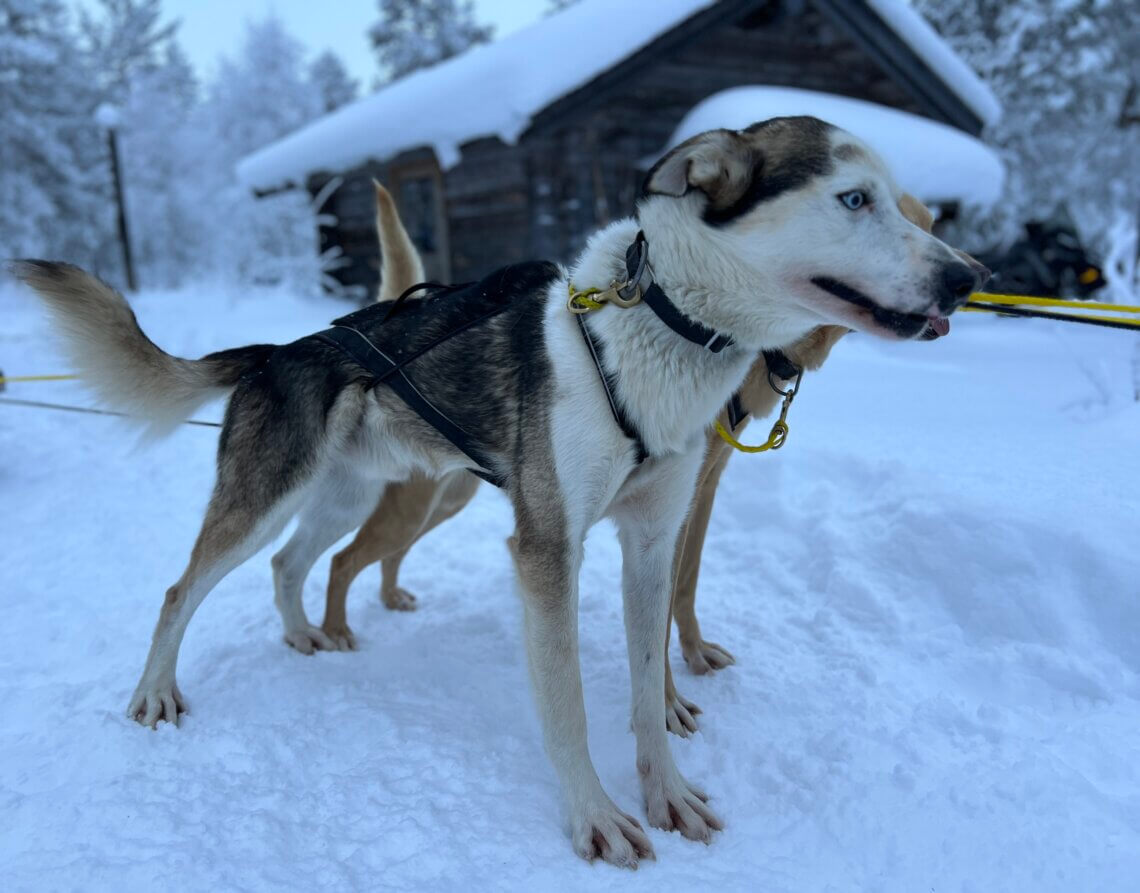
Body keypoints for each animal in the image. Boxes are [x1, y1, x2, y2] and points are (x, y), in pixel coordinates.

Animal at [319, 180, 934, 734]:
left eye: (925, 222)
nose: (955, 282)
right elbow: (658, 619)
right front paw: (667, 706)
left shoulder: (696, 493)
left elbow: (682, 588)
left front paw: (692, 657)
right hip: (416, 506)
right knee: (342, 559)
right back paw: (332, 631)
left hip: (446, 500)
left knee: (385, 556)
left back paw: (390, 596)